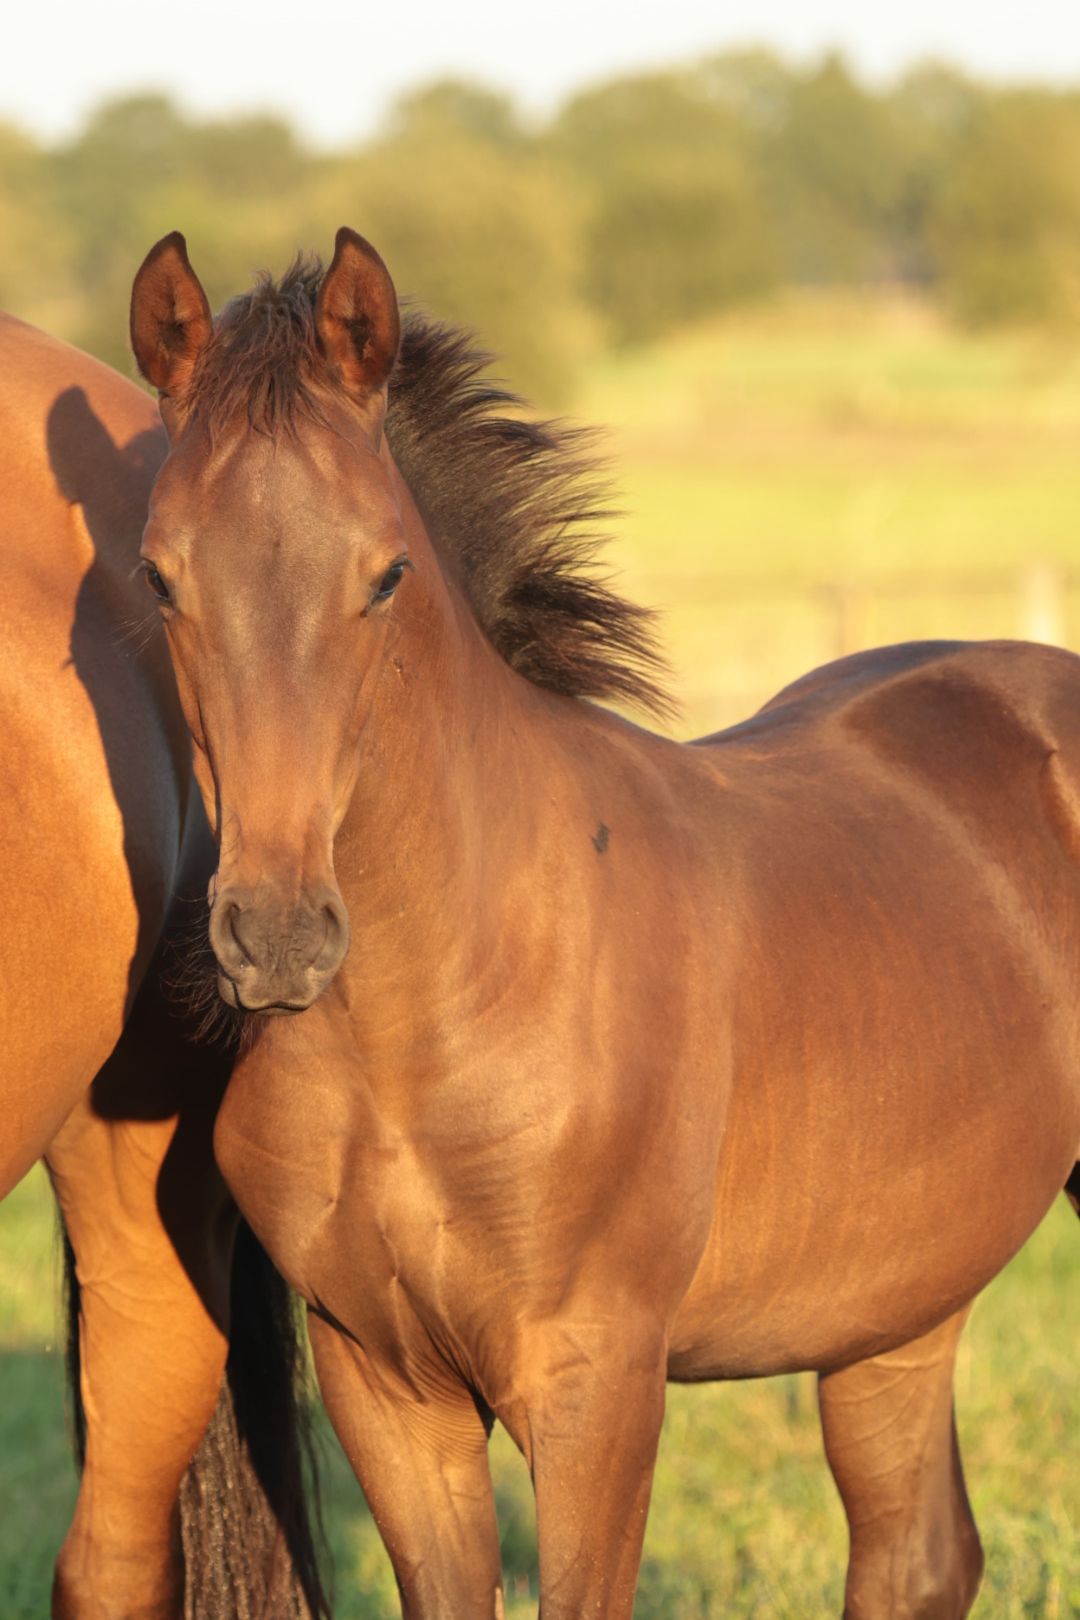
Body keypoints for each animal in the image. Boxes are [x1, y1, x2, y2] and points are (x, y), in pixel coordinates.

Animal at [128, 226, 1080, 1620]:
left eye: (386, 573)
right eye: (160, 576)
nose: (278, 935)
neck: (433, 1017)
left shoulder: (597, 1386)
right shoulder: (389, 1389)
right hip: (899, 1307)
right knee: (920, 1554)